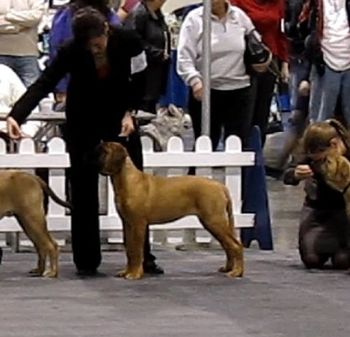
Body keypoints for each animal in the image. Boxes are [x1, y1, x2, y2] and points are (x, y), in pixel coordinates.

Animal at [97, 141, 245, 278]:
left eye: (103, 151)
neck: (126, 180)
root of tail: (220, 186)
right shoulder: (127, 224)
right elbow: (130, 250)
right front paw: (127, 271)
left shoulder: (138, 224)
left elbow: (137, 251)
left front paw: (135, 274)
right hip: (212, 223)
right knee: (227, 246)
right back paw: (228, 268)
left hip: (214, 221)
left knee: (236, 245)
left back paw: (237, 272)